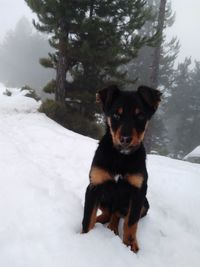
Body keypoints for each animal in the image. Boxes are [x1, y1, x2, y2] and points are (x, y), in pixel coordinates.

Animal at [82, 85, 162, 253]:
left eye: (140, 115)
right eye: (115, 115)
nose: (125, 139)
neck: (120, 157)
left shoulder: (138, 192)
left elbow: (131, 223)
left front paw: (130, 245)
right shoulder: (94, 187)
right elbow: (87, 218)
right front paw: (84, 239)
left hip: (145, 205)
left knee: (117, 215)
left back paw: (112, 228)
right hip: (104, 199)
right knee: (109, 213)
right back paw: (102, 222)